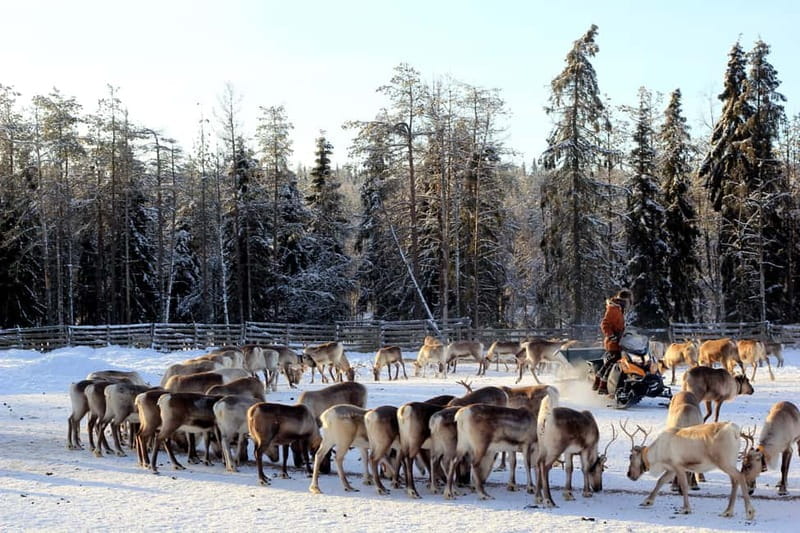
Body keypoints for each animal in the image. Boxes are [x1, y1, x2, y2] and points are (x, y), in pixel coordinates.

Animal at [621, 420, 755, 519]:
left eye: (631, 456)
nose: (628, 474)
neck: (657, 454)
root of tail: (735, 430)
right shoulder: (671, 469)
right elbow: (660, 481)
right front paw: (647, 501)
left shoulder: (678, 466)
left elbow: (684, 486)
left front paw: (686, 509)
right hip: (730, 462)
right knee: (735, 481)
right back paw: (728, 511)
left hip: (724, 462)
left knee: (740, 476)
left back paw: (749, 512)